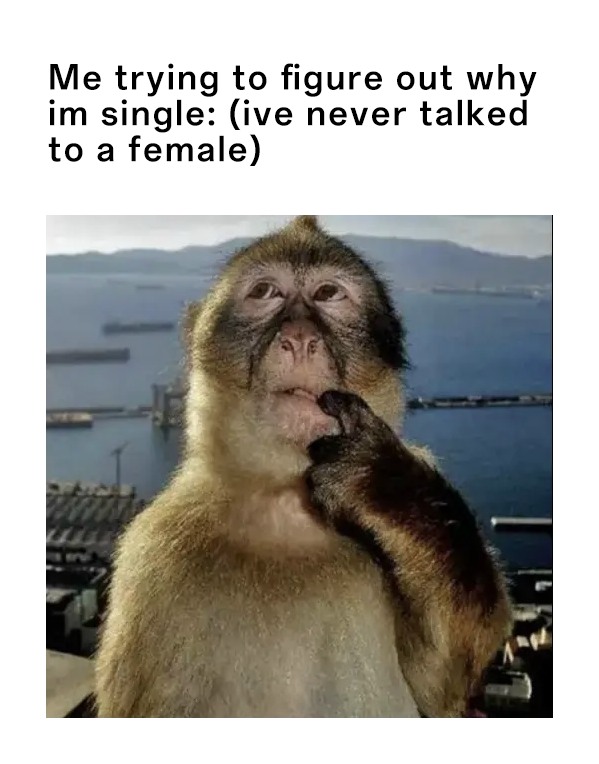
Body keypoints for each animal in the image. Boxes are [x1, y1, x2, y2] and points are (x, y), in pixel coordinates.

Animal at [95, 215, 512, 718]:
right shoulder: (152, 559)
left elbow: (442, 686)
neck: (285, 504)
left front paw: (383, 483)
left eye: (329, 293)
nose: (299, 338)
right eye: (265, 292)